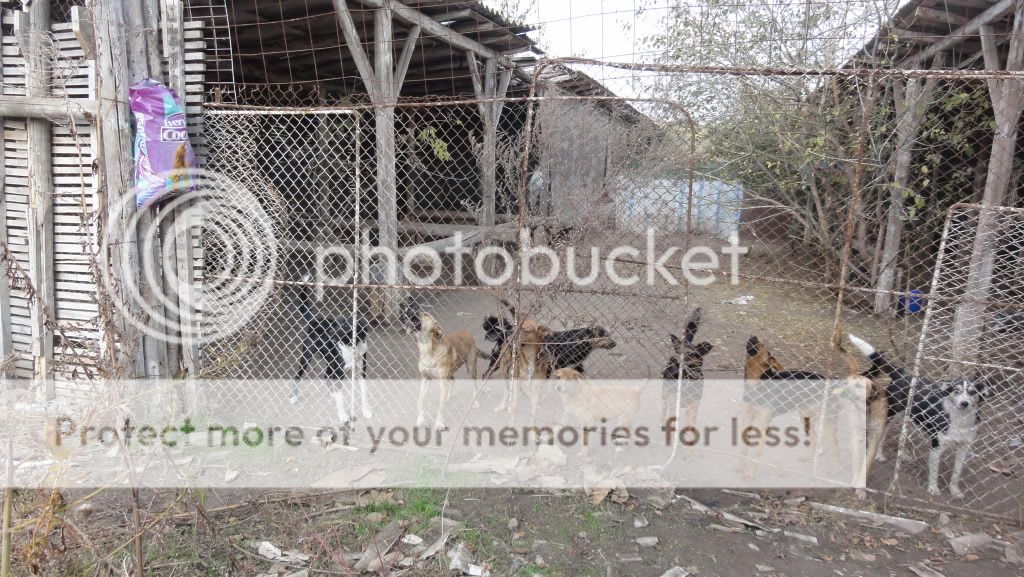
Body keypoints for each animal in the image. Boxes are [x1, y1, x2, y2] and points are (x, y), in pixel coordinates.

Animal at [292, 276, 372, 422]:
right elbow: (341, 399)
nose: (329, 332)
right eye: (335, 323)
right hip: (306, 356)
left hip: (331, 360)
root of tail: (315, 320)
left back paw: (332, 393)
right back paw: (294, 397)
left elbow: (364, 395)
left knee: (327, 374)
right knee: (298, 376)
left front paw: (366, 411)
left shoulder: (361, 372)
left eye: (345, 325)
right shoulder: (339, 373)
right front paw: (343, 416)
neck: (351, 347)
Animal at [399, 297, 487, 428]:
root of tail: (467, 333)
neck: (427, 350)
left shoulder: (442, 380)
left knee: (474, 386)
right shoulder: (426, 378)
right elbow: (420, 401)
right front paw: (421, 419)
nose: (409, 307)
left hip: (471, 368)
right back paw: (449, 396)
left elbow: (441, 405)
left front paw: (439, 423)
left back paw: (475, 402)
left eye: (426, 314)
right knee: (453, 380)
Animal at [847, 336, 983, 498]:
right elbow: (934, 471)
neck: (960, 419)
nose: (964, 403)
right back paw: (880, 455)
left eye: (973, 392)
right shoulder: (937, 445)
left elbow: (956, 473)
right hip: (890, 417)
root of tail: (903, 374)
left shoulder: (964, 447)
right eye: (956, 391)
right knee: (881, 438)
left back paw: (904, 455)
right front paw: (933, 489)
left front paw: (955, 491)